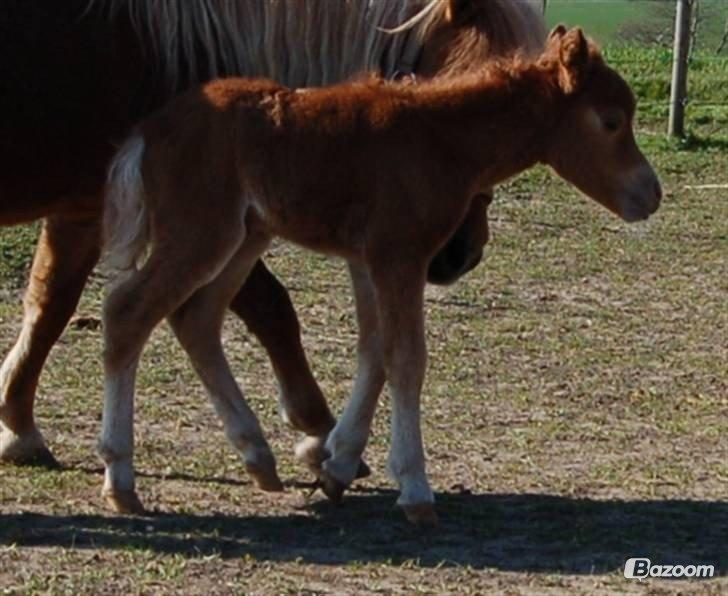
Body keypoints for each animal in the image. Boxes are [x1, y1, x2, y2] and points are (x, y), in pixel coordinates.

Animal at [99, 29, 664, 520]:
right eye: (612, 121)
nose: (651, 195)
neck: (442, 139)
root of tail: (148, 131)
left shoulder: (367, 259)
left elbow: (373, 351)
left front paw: (338, 465)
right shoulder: (400, 256)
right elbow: (406, 358)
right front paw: (414, 488)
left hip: (244, 238)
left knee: (197, 318)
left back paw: (256, 455)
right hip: (200, 234)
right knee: (129, 312)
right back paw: (121, 480)